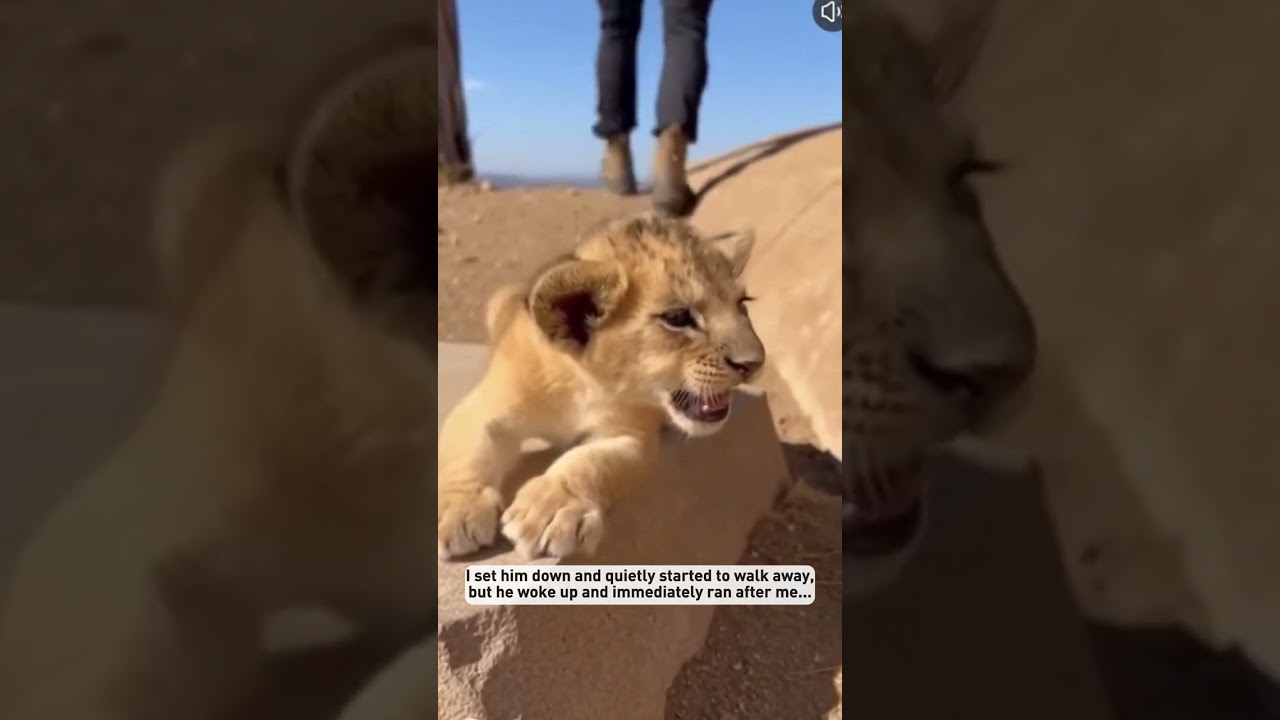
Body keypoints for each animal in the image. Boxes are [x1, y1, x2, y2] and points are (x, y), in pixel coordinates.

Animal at [436, 215, 765, 560]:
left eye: (742, 304)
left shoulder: (630, 434)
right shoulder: (485, 406)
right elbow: (465, 450)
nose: (755, 363)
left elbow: (590, 462)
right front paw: (455, 510)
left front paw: (550, 509)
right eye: (677, 317)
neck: (579, 382)